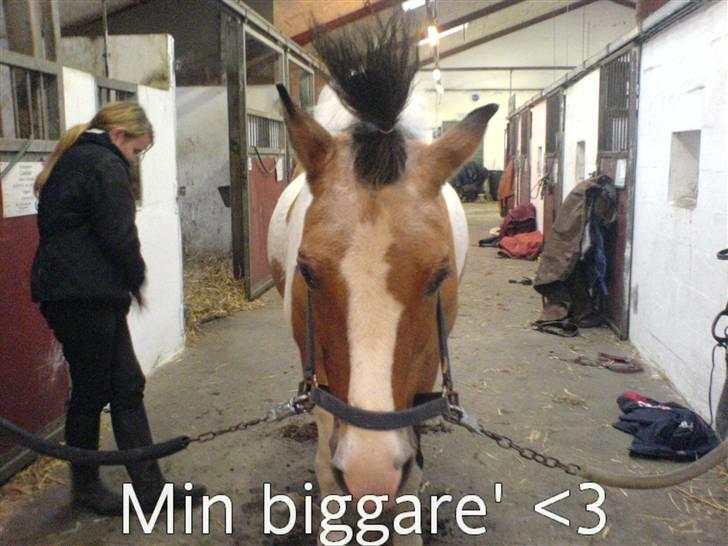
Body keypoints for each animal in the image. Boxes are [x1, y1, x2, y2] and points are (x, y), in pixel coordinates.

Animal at [267, 18, 498, 544]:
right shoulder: (319, 373)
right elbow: (326, 461)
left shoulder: (427, 362)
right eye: (307, 272)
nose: (370, 474)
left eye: (438, 276)